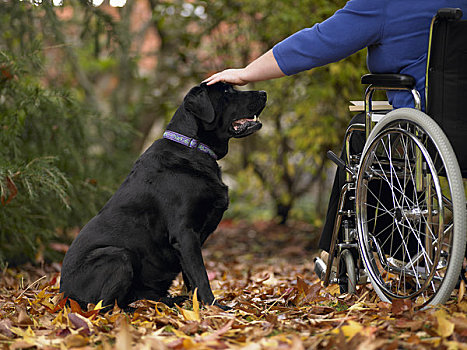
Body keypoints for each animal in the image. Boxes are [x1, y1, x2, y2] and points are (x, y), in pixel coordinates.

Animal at [59, 83, 266, 310]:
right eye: (227, 92)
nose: (263, 93)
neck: (192, 146)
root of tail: (63, 295)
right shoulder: (184, 232)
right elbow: (200, 275)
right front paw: (214, 307)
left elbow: (190, 277)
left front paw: (195, 305)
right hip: (117, 256)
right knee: (103, 306)